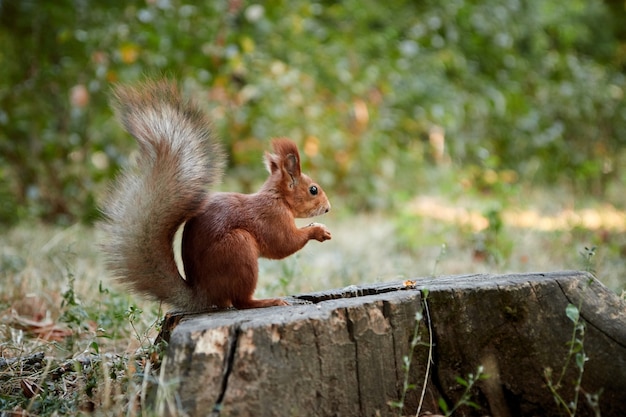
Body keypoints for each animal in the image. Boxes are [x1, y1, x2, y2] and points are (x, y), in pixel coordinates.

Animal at [98, 79, 332, 310]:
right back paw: (267, 301)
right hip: (238, 248)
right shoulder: (272, 217)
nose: (328, 208)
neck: (279, 198)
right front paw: (318, 231)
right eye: (313, 190)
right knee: (241, 302)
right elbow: (284, 244)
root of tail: (204, 294)